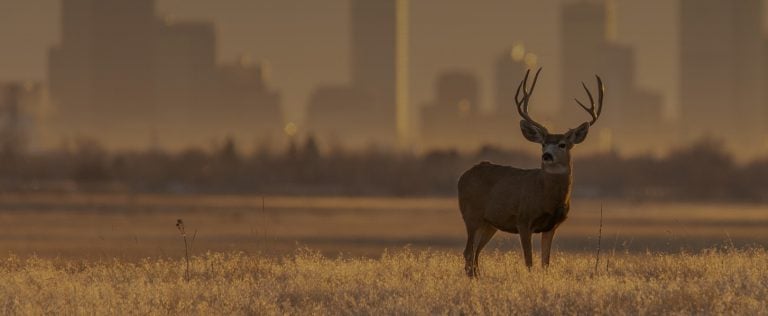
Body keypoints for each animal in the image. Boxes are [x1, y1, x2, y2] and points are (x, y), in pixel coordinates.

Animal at [460, 67, 604, 276]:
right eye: (543, 143)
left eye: (562, 144)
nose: (547, 156)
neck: (547, 197)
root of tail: (462, 177)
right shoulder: (523, 220)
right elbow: (529, 261)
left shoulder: (552, 226)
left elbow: (545, 262)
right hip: (471, 215)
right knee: (468, 252)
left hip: (489, 223)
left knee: (475, 253)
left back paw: (478, 278)